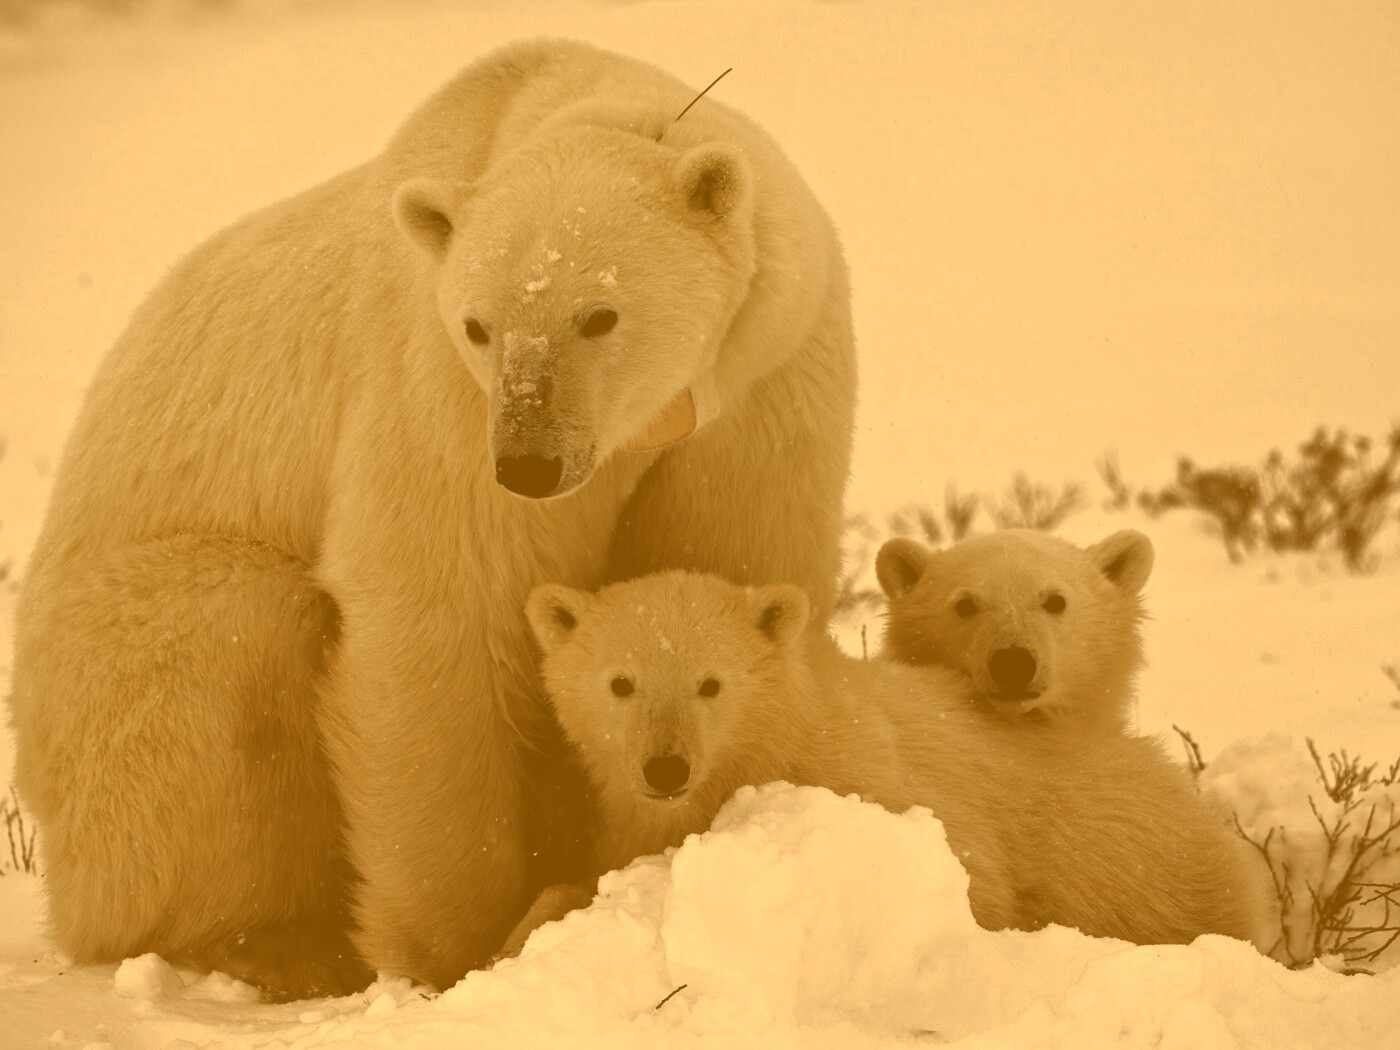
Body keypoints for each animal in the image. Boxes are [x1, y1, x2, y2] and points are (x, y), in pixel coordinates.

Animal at [8, 37, 851, 996]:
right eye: (480, 325)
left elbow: (727, 562)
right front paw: (462, 946)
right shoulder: (435, 385)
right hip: (105, 688)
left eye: (599, 314)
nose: (528, 464)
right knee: (232, 645)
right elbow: (440, 608)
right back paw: (277, 944)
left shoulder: (761, 382)